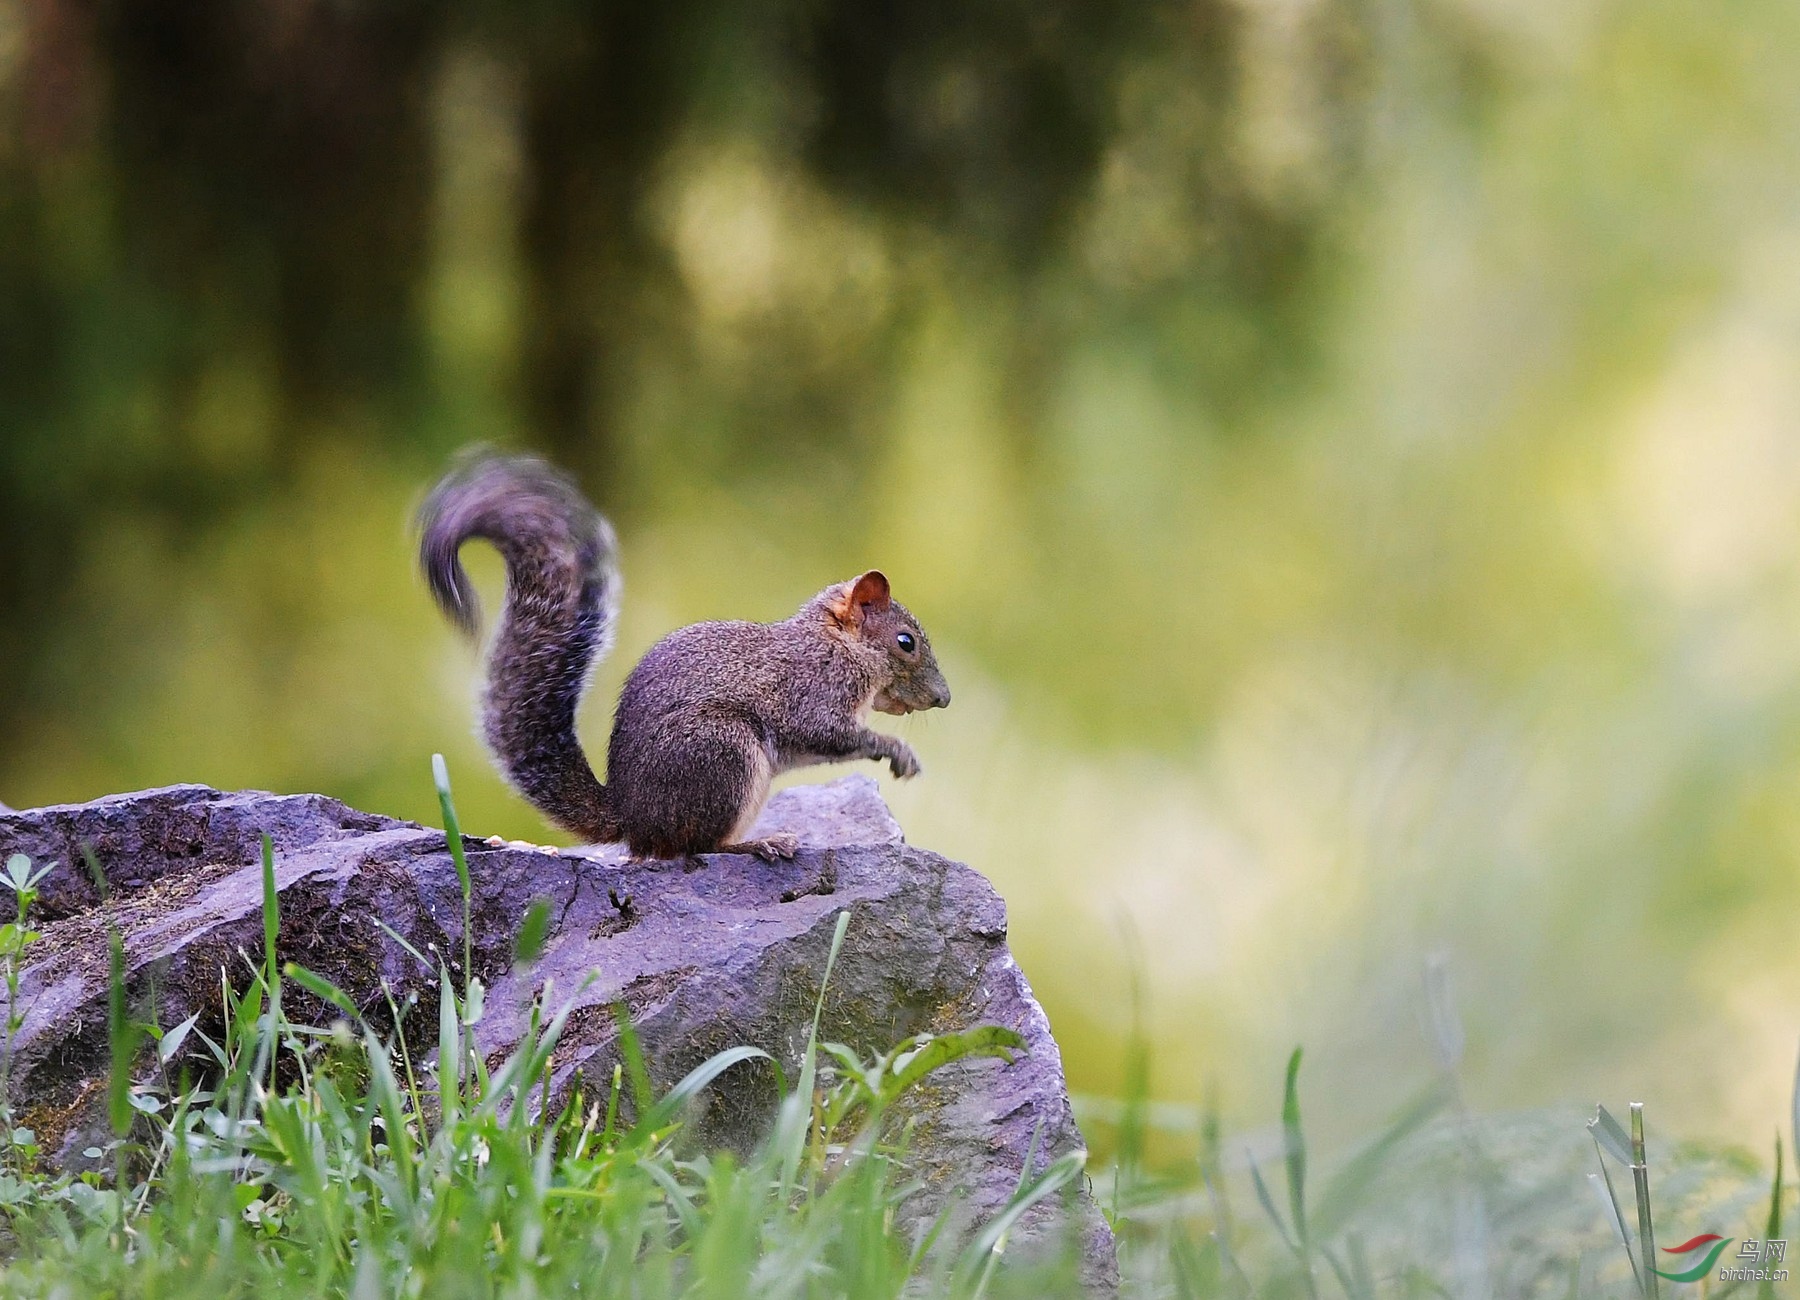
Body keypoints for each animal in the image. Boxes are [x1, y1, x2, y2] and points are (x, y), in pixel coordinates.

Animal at [419, 450, 950, 857]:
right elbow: (825, 731)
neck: (838, 643)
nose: (943, 699)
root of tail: (631, 820)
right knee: (696, 846)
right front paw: (895, 749)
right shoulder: (814, 687)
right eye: (906, 642)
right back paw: (757, 843)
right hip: (723, 754)